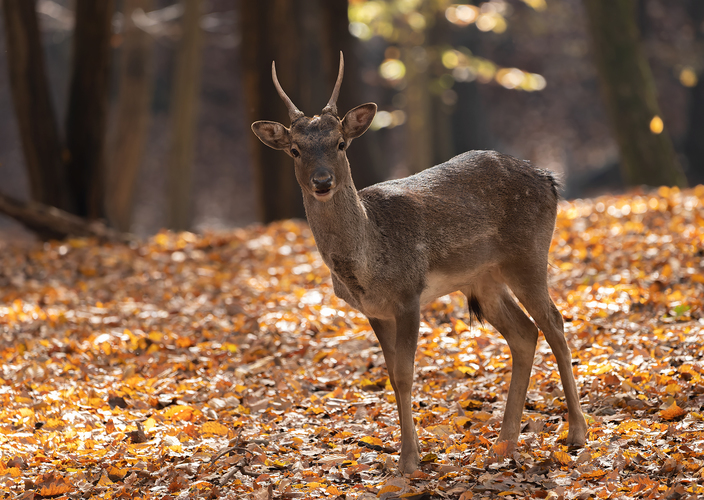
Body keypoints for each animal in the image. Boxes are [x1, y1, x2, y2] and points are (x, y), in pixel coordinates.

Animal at [253, 52, 588, 474]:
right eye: (295, 150)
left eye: (340, 143)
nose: (322, 181)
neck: (367, 264)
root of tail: (549, 178)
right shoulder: (374, 311)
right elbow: (391, 376)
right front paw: (404, 455)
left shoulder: (408, 294)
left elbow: (405, 374)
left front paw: (410, 461)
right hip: (484, 279)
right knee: (525, 333)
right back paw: (503, 444)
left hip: (529, 254)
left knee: (554, 322)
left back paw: (576, 434)